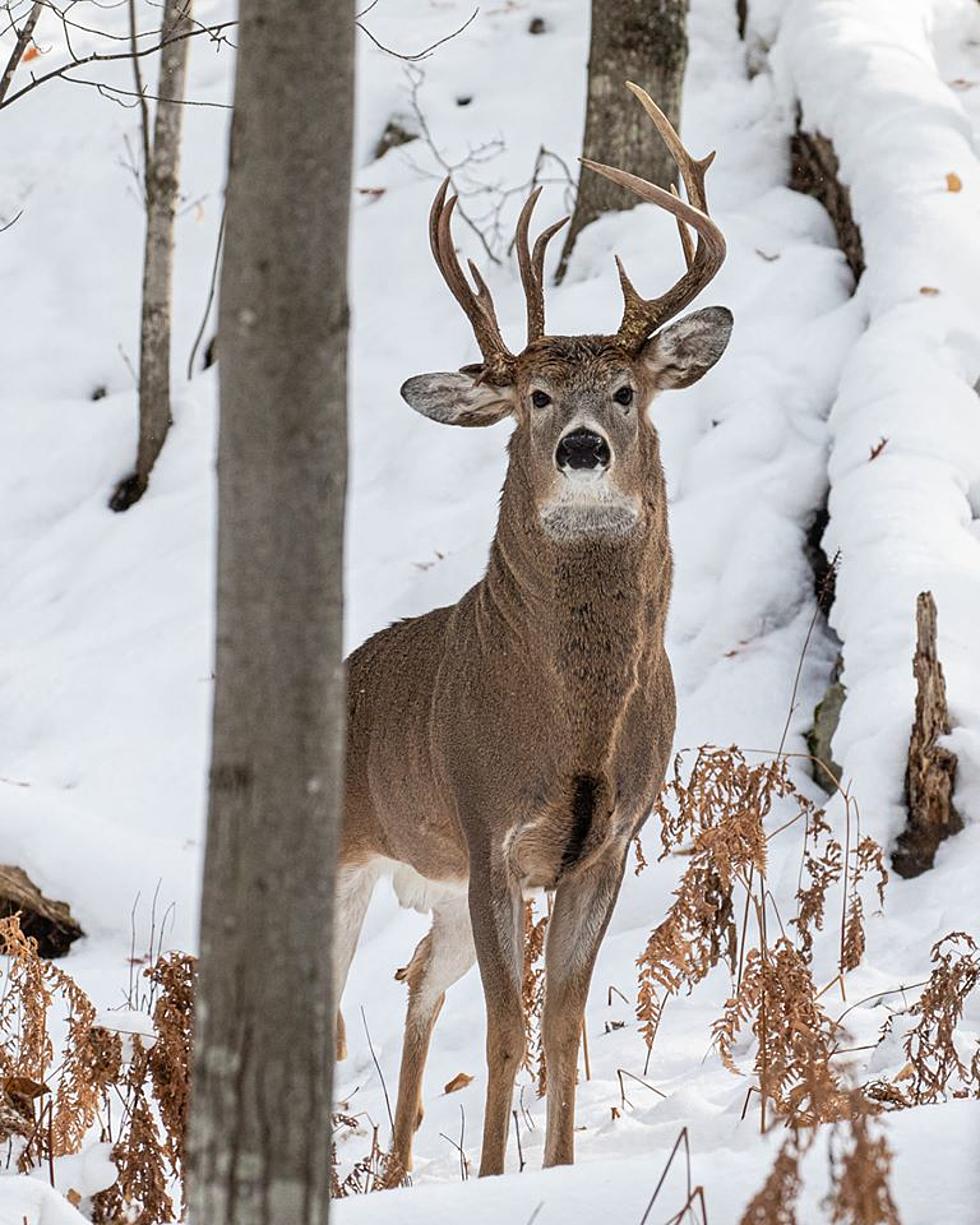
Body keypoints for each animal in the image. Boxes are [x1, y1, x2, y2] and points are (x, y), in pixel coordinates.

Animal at [338, 86, 725, 1176]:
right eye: (534, 396)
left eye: (627, 391)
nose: (582, 447)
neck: (574, 727)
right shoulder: (487, 833)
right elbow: (508, 1028)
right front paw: (491, 1179)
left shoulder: (608, 843)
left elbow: (560, 1020)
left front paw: (552, 1169)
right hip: (348, 855)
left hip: (435, 887)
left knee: (417, 980)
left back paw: (395, 1172)